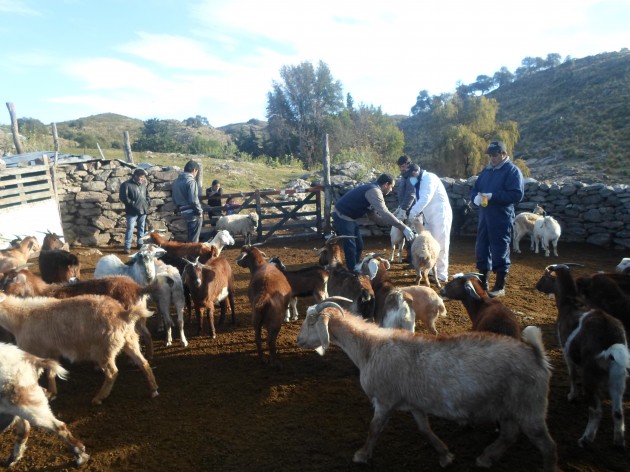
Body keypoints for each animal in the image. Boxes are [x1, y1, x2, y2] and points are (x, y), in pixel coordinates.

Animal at [0, 292, 159, 406]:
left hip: (104, 350)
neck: (20, 319)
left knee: (112, 373)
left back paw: (98, 398)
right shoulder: (51, 352)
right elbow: (51, 372)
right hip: (130, 341)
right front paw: (52, 393)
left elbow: (37, 374)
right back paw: (154, 390)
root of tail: (122, 314)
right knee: (143, 363)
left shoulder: (35, 351)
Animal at [298, 302, 560, 472]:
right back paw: (486, 458)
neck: (369, 347)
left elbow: (374, 429)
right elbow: (424, 430)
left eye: (311, 321)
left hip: (531, 407)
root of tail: (536, 355)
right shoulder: (414, 403)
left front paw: (362, 456)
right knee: (509, 434)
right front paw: (445, 455)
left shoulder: (384, 400)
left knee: (548, 446)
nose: (298, 341)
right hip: (506, 407)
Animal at [532, 264, 630, 448]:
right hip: (618, 376)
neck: (570, 303)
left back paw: (585, 439)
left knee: (596, 410)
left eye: (545, 276)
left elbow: (572, 374)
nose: (537, 286)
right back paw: (619, 441)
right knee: (618, 411)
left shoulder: (566, 350)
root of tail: (611, 340)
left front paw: (572, 396)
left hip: (590, 375)